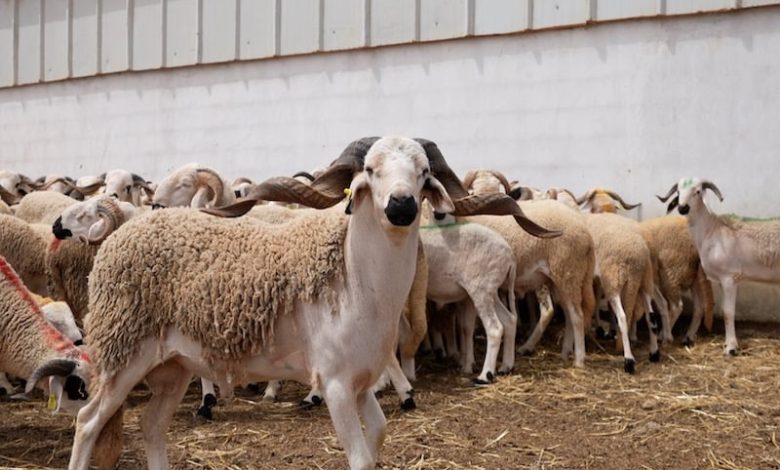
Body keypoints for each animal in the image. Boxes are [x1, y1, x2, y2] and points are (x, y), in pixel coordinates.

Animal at [68, 136, 556, 470]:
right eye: (371, 169)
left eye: (422, 173)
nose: (401, 207)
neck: (355, 278)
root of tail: (122, 235)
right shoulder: (337, 383)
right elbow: (360, 458)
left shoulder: (361, 379)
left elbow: (378, 437)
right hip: (123, 353)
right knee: (88, 422)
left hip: (172, 366)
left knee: (151, 426)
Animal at [660, 178, 780, 354]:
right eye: (678, 192)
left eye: (697, 191)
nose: (683, 208)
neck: (712, 231)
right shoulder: (722, 279)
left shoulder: (729, 277)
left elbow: (728, 312)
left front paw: (731, 348)